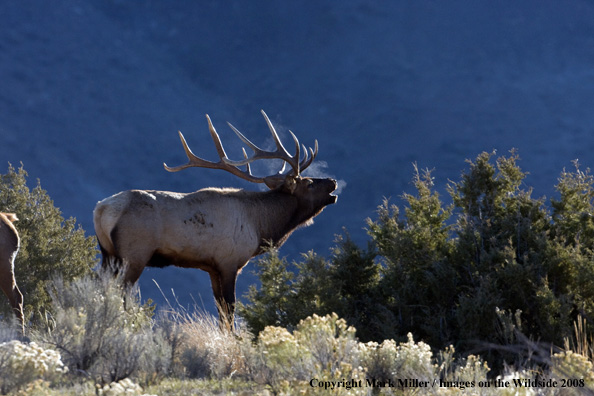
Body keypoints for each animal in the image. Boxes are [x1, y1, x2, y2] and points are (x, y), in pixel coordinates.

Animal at [94, 110, 336, 328]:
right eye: (309, 183)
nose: (332, 181)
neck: (261, 226)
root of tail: (102, 209)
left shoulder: (211, 267)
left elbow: (220, 308)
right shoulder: (230, 261)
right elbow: (230, 308)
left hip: (108, 253)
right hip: (134, 254)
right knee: (121, 291)